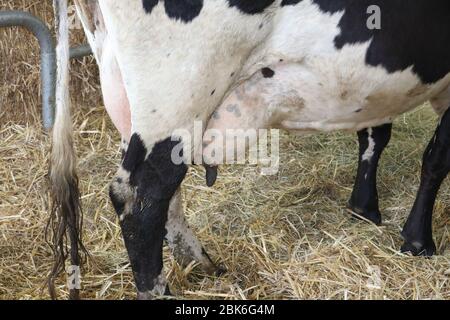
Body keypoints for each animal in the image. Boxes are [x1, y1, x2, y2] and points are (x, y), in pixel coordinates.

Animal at [50, 0, 450, 300]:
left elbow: (375, 132)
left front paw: (365, 207)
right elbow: (436, 159)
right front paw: (418, 239)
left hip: (131, 98)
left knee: (161, 196)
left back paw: (203, 264)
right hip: (179, 88)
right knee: (140, 196)